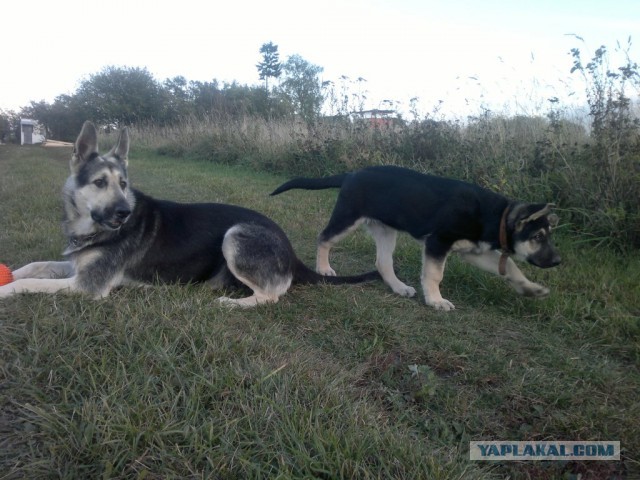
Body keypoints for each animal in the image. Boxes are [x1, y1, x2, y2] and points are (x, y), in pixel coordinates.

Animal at [0, 121, 378, 308]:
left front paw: (6, 290)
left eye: (123, 183)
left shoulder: (88, 285)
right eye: (99, 182)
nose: (124, 213)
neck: (92, 227)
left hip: (236, 235)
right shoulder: (78, 268)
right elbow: (36, 267)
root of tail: (292, 253)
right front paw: (13, 272)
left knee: (273, 295)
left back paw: (232, 304)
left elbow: (33, 282)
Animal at [270, 165, 560, 310]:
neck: (494, 215)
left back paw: (398, 287)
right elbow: (434, 274)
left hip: (386, 229)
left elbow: (509, 265)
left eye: (547, 236)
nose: (558, 261)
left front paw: (531, 289)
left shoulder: (474, 251)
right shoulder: (438, 242)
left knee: (382, 262)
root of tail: (351, 174)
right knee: (324, 237)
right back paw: (324, 267)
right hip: (348, 218)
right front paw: (435, 300)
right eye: (538, 235)